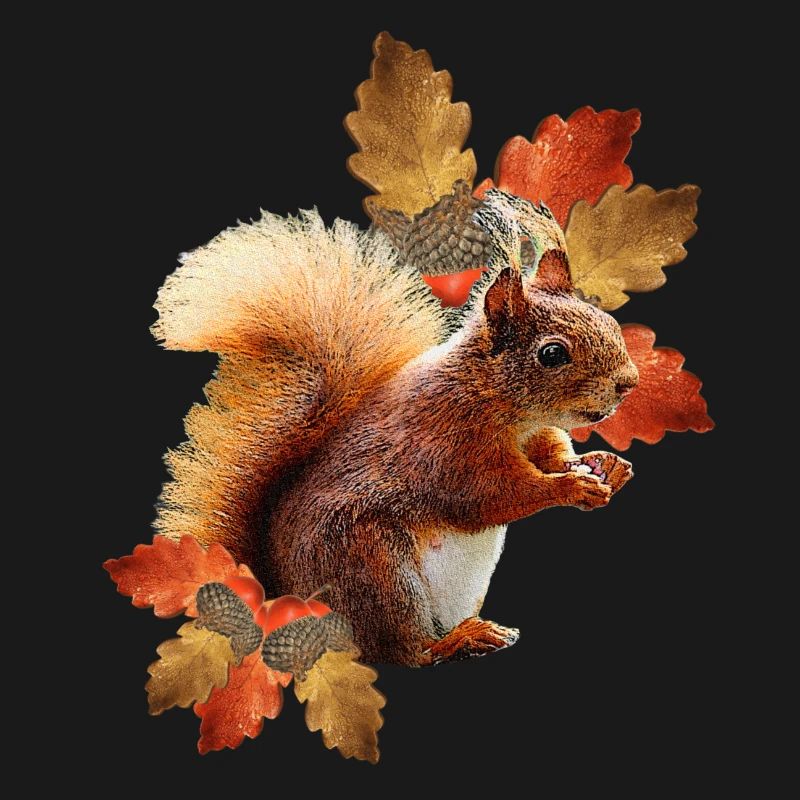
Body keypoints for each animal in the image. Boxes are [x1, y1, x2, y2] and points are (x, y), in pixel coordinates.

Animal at [151, 190, 639, 666]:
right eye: (552, 354)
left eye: (608, 322)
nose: (629, 382)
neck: (506, 408)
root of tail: (284, 593)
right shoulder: (446, 443)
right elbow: (494, 495)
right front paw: (571, 488)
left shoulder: (537, 434)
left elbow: (554, 455)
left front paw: (603, 465)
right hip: (374, 568)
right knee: (401, 651)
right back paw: (455, 642)